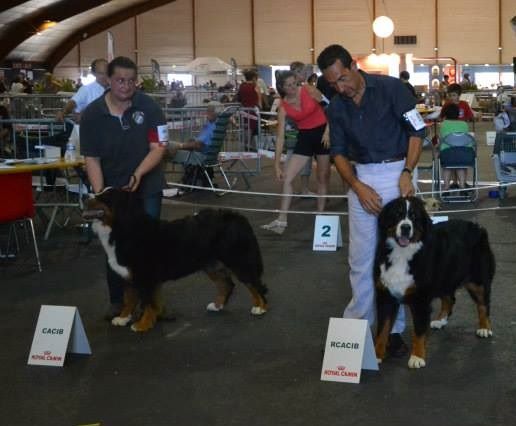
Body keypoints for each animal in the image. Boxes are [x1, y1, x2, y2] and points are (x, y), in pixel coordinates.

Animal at [82, 188, 268, 332]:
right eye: (99, 191)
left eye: (105, 197)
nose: (84, 196)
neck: (123, 228)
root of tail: (237, 217)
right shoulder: (129, 276)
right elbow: (130, 300)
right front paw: (123, 318)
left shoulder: (145, 277)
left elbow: (148, 303)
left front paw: (142, 325)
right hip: (211, 265)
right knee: (227, 284)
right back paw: (217, 306)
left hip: (239, 261)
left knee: (255, 284)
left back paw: (260, 307)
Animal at [374, 198, 496, 368]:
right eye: (397, 215)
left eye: (414, 217)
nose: (406, 227)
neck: (402, 253)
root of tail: (477, 227)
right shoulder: (385, 296)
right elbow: (382, 330)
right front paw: (376, 356)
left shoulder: (420, 300)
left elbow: (419, 332)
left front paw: (417, 357)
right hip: (445, 276)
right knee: (450, 299)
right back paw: (440, 320)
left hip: (477, 280)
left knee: (483, 303)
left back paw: (484, 328)